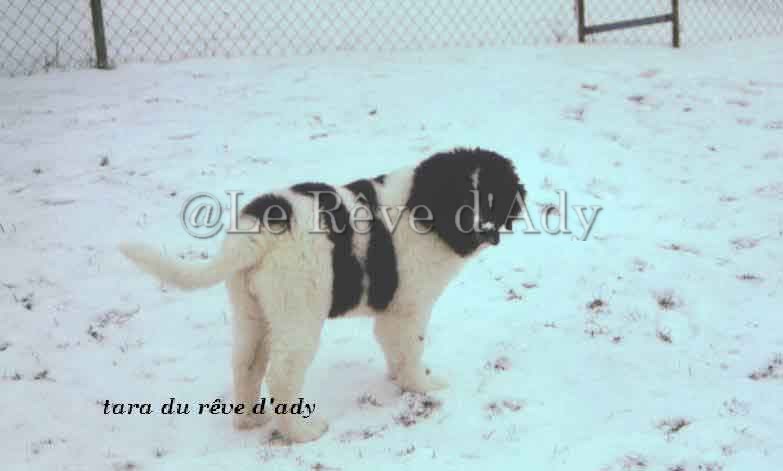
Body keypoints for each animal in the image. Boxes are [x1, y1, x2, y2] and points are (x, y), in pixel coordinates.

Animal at [119, 147, 526, 443]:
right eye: (461, 198)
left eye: (492, 199)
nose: (483, 228)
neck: (425, 213)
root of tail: (259, 228)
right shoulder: (409, 306)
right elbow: (410, 349)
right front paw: (422, 386)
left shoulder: (392, 313)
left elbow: (395, 348)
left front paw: (399, 380)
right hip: (299, 310)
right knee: (282, 375)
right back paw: (301, 433)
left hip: (252, 309)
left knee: (246, 363)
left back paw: (249, 421)